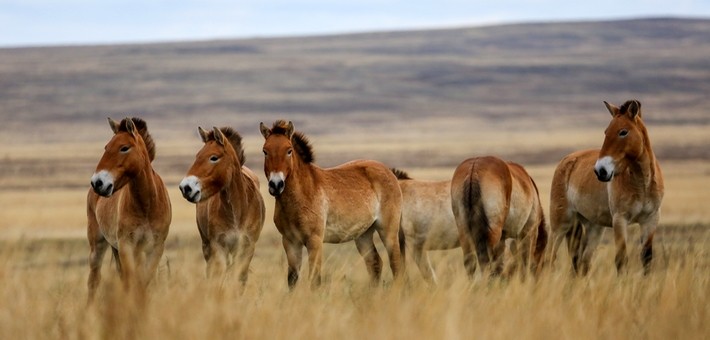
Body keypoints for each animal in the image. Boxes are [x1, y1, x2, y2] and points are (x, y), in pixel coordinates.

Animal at [87, 117, 172, 302]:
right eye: (106, 147)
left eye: (124, 147)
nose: (98, 182)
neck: (146, 205)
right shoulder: (126, 244)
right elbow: (131, 281)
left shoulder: (155, 247)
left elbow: (144, 282)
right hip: (98, 245)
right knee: (93, 281)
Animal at [179, 126, 266, 286]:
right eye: (197, 155)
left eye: (214, 157)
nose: (185, 187)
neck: (236, 212)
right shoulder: (218, 247)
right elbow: (217, 277)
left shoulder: (247, 248)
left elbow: (240, 278)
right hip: (206, 246)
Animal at [262, 121, 406, 288]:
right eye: (265, 151)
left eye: (289, 150)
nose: (276, 185)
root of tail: (388, 171)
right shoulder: (290, 241)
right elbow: (292, 279)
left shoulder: (315, 240)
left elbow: (315, 279)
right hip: (363, 235)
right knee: (375, 264)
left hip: (388, 231)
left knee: (396, 265)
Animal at [552, 99, 668, 274]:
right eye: (606, 132)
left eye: (623, 132)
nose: (600, 170)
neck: (642, 185)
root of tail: (566, 160)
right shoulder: (620, 220)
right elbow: (621, 260)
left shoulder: (651, 220)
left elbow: (647, 259)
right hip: (561, 223)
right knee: (547, 257)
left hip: (592, 227)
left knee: (582, 263)